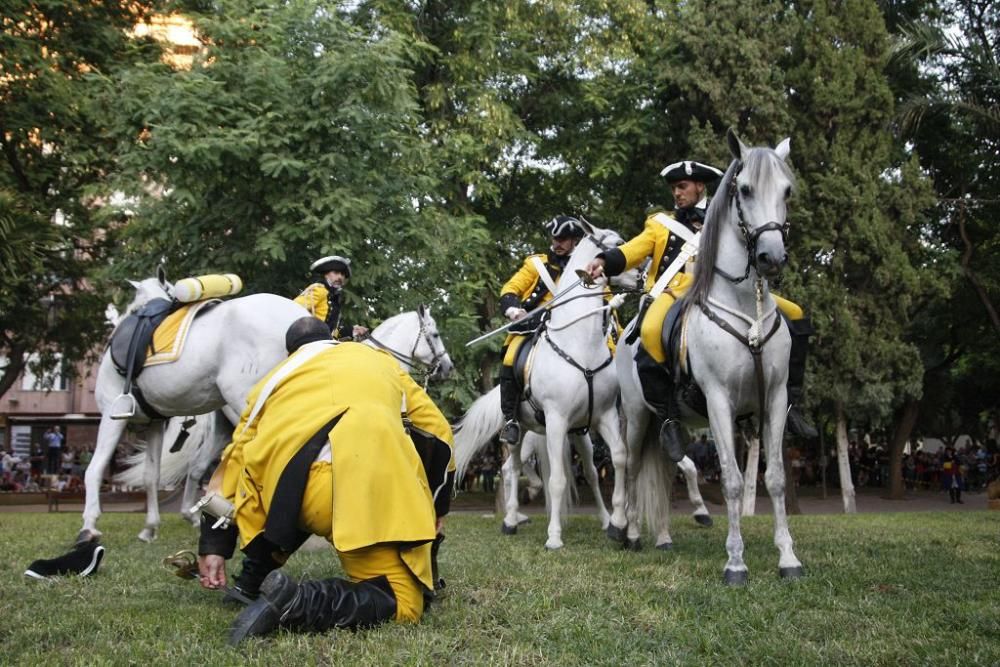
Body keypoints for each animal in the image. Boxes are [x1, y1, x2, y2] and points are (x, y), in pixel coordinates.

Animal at [80, 268, 308, 544]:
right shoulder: (155, 423)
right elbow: (151, 475)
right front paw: (150, 528)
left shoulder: (112, 417)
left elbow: (94, 469)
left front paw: (89, 526)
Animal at [458, 222, 628, 552]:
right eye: (614, 246)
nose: (641, 276)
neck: (581, 344)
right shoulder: (557, 420)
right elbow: (558, 480)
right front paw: (554, 536)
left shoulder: (602, 417)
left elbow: (614, 460)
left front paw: (615, 522)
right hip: (518, 431)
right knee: (510, 469)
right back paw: (511, 520)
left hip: (567, 435)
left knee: (583, 471)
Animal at [616, 130, 804, 584]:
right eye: (746, 189)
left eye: (787, 191)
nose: (772, 257)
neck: (745, 304)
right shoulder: (720, 399)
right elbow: (734, 481)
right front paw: (735, 561)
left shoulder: (775, 398)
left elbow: (774, 478)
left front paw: (787, 557)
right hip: (637, 414)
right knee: (631, 468)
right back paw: (631, 535)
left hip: (667, 421)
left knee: (666, 467)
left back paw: (663, 538)